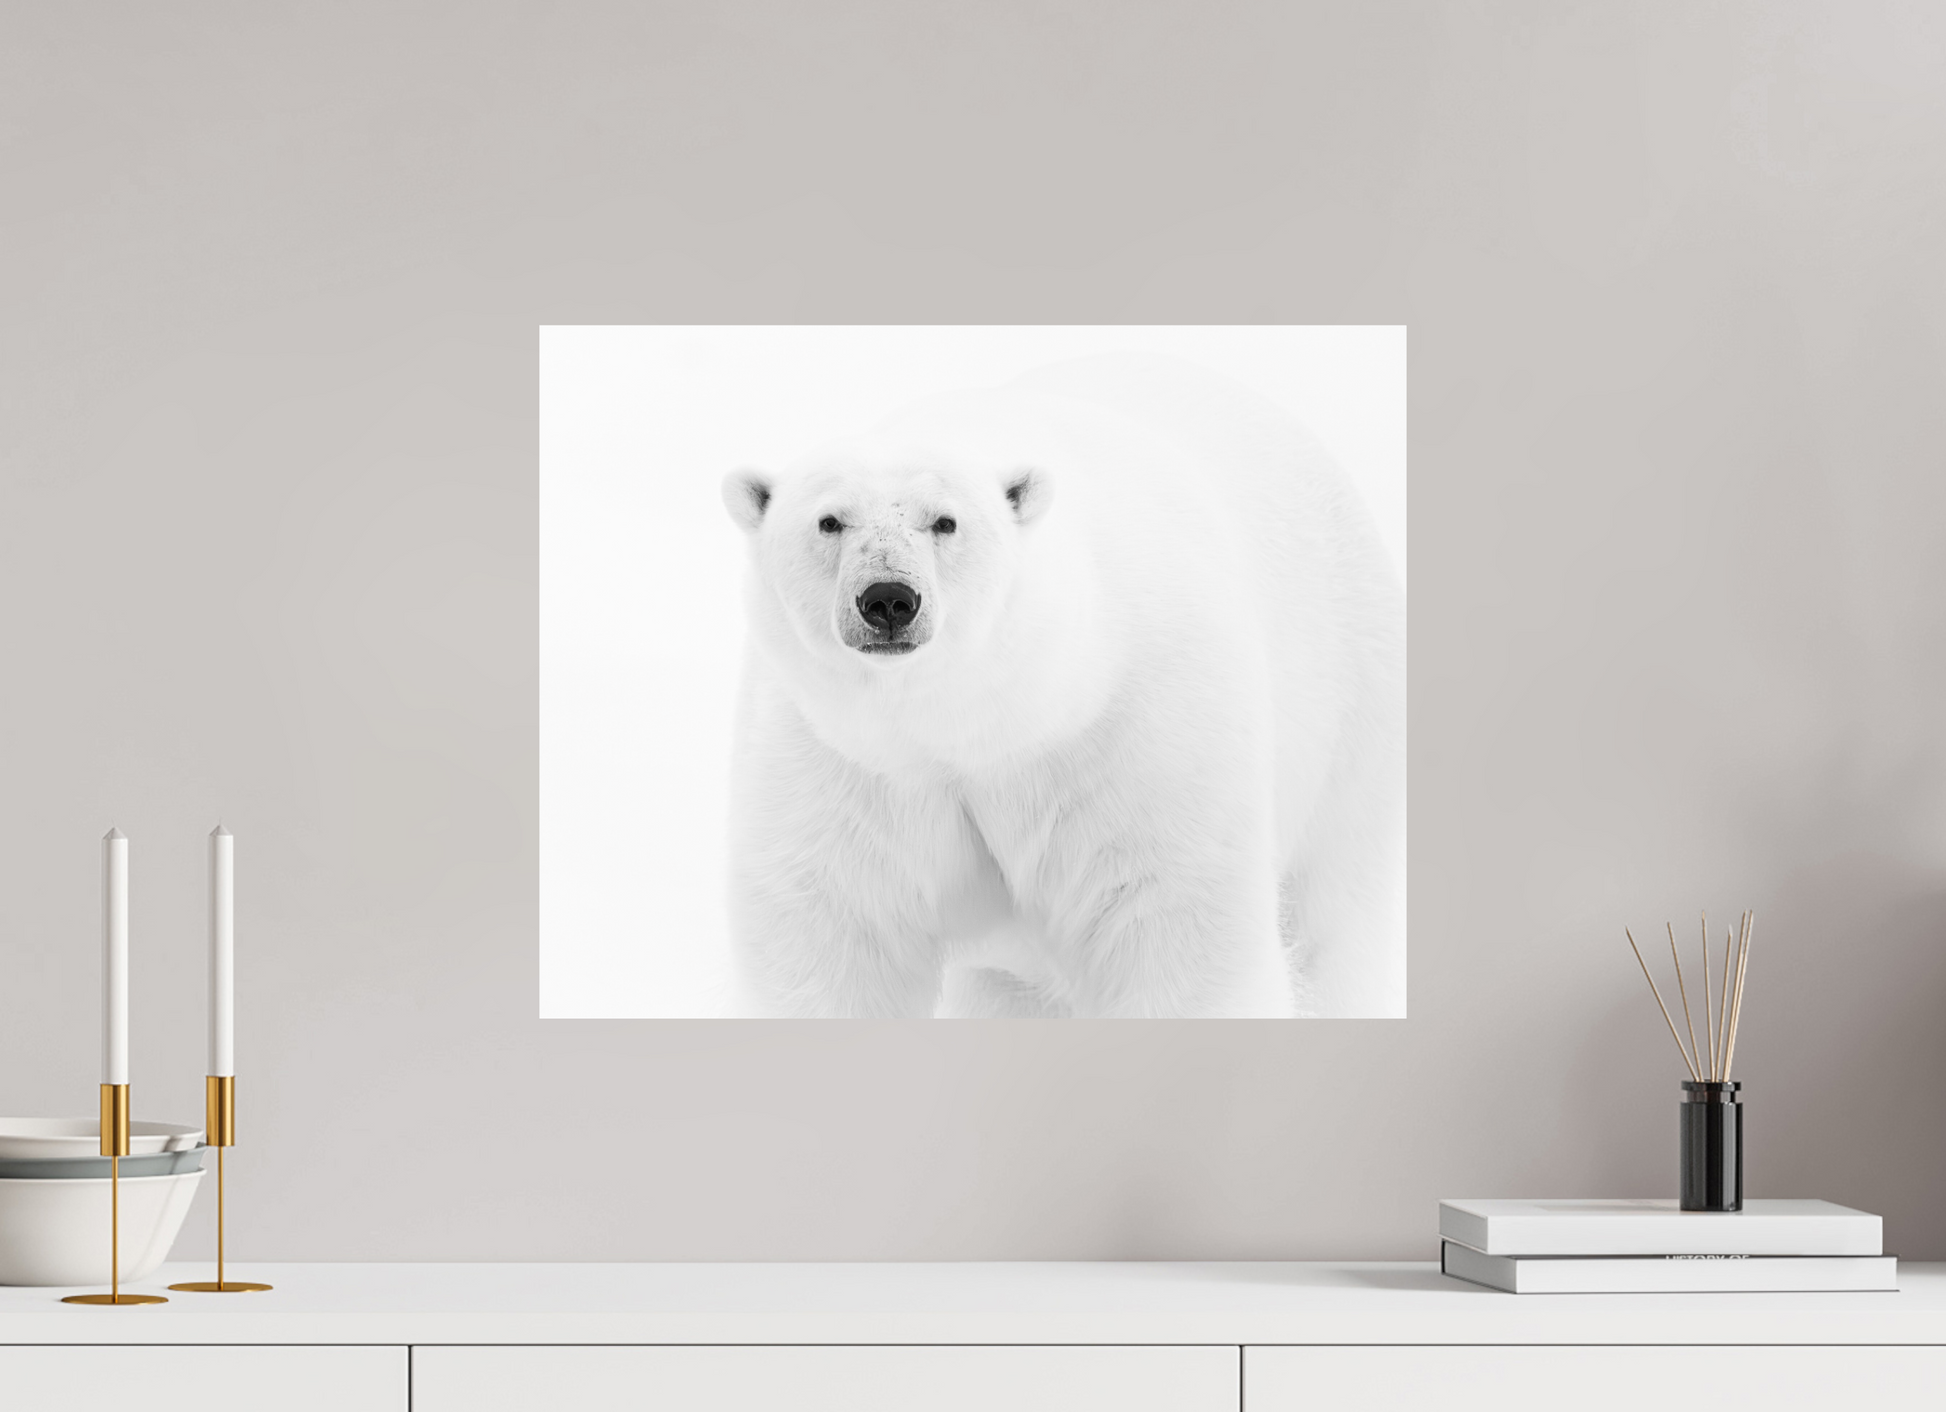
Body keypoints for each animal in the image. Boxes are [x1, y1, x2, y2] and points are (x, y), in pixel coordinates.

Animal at [718, 353, 1404, 1018]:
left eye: (946, 521)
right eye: (829, 521)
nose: (889, 599)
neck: (984, 720)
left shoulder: (1137, 740)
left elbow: (1177, 929)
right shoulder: (842, 765)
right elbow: (833, 937)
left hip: (1346, 716)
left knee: (1330, 921)